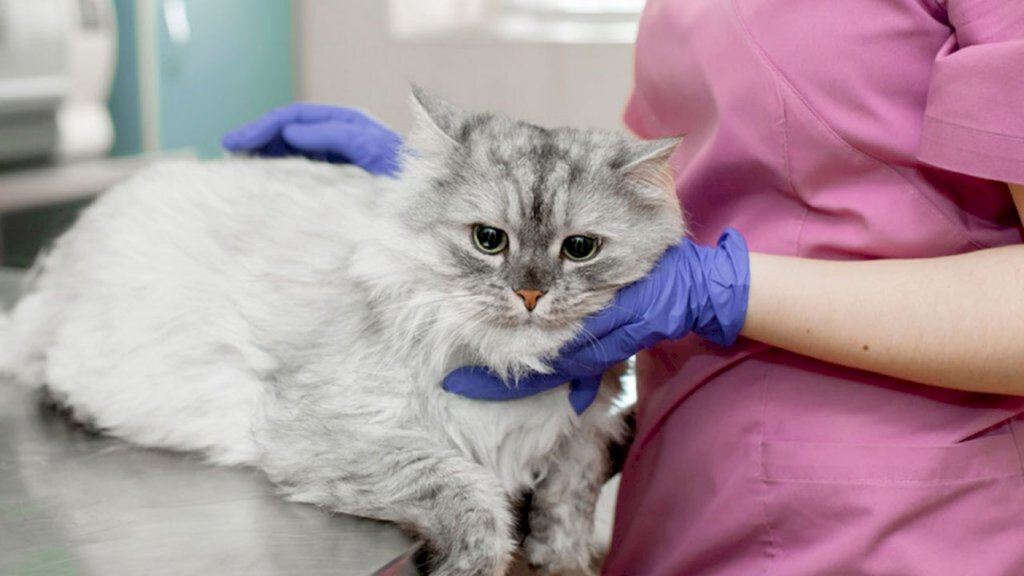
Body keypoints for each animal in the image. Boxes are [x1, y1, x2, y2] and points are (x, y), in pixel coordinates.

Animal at [2, 89, 688, 573]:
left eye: (579, 249)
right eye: (489, 240)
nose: (530, 294)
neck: (508, 370)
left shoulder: (587, 431)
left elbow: (571, 498)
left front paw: (560, 556)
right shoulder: (331, 436)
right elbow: (472, 498)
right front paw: (470, 562)